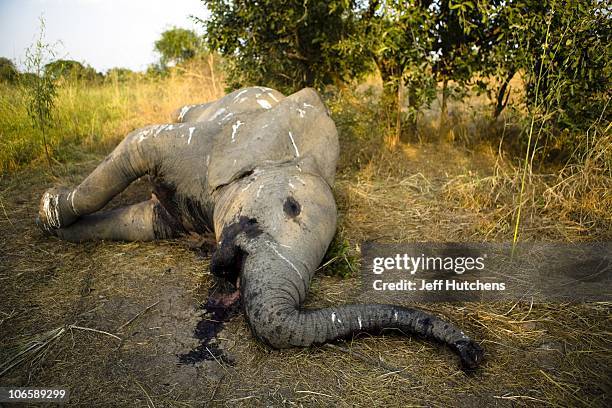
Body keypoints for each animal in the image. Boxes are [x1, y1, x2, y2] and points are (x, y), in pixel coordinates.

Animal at [37, 86, 482, 370]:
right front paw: (47, 212)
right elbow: (138, 146)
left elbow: (144, 223)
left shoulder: (175, 217)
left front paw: (58, 229)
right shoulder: (205, 147)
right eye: (291, 207)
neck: (290, 158)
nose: (472, 353)